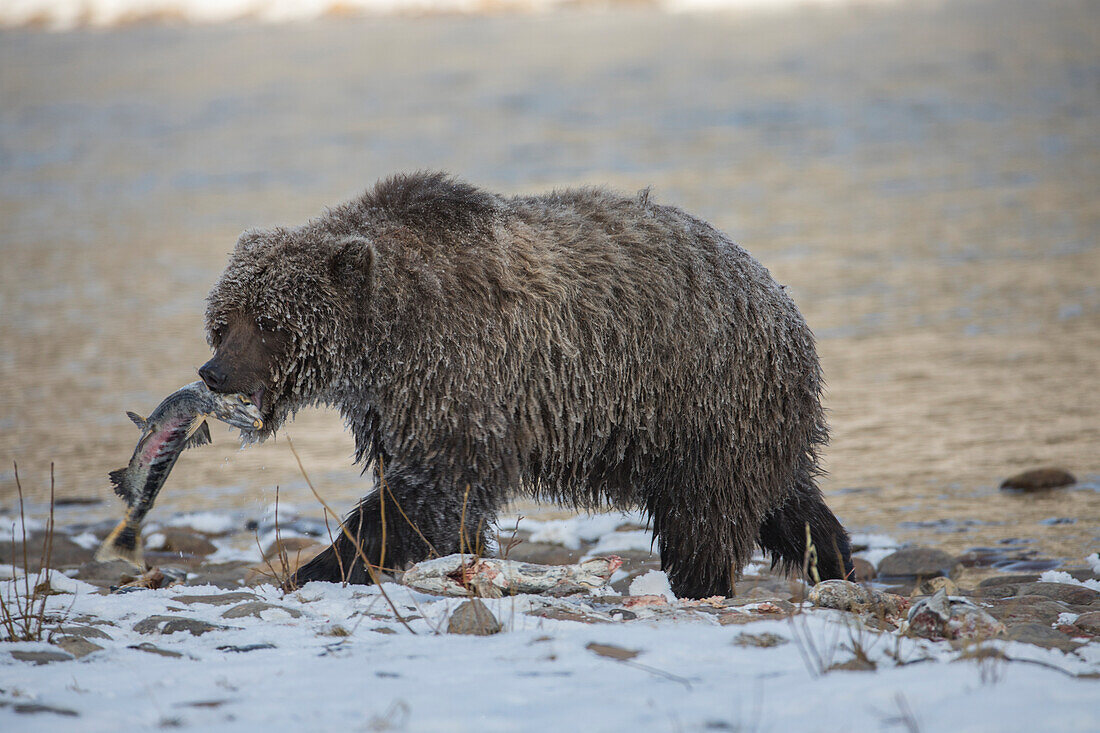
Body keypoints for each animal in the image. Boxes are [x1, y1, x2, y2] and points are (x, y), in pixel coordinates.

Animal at [200, 172, 849, 598]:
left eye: (268, 322)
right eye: (224, 319)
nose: (214, 372)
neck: (384, 335)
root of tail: (778, 298)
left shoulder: (460, 372)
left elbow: (433, 489)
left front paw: (318, 567)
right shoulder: (393, 403)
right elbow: (433, 495)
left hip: (703, 395)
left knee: (706, 516)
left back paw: (700, 584)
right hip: (731, 419)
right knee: (786, 501)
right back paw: (836, 560)